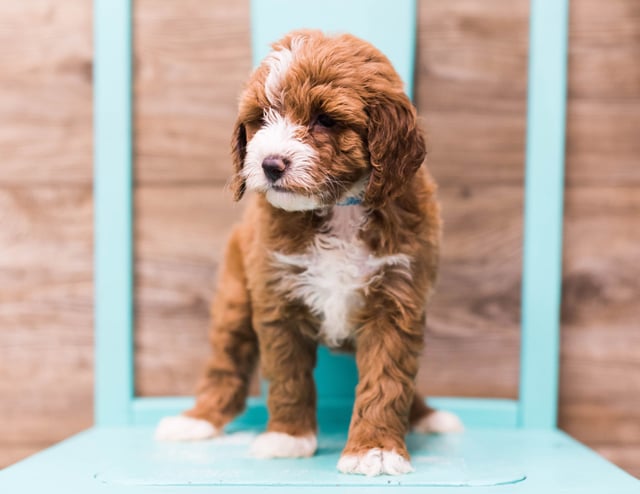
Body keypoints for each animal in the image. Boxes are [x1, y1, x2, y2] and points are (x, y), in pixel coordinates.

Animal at [158, 29, 462, 474]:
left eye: (325, 119)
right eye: (261, 118)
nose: (270, 164)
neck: (340, 208)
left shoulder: (398, 298)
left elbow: (388, 380)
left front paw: (376, 449)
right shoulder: (277, 296)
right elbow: (288, 376)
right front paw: (288, 437)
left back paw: (426, 416)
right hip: (236, 295)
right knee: (226, 361)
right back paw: (198, 420)